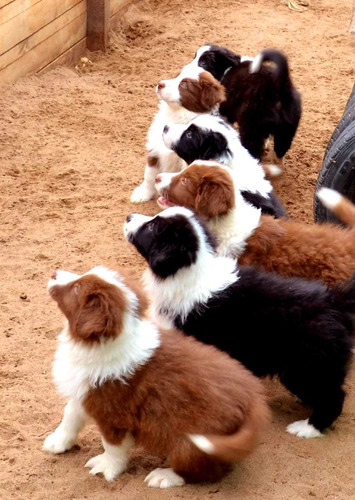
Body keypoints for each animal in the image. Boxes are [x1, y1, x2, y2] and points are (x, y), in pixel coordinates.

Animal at [43, 266, 270, 488]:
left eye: (77, 288)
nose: (53, 273)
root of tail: (255, 399)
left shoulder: (114, 414)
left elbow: (113, 447)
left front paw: (106, 468)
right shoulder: (84, 391)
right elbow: (70, 414)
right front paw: (57, 442)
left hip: (191, 443)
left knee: (206, 472)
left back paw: (164, 476)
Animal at [124, 206, 354, 438]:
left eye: (152, 226)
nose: (128, 216)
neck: (190, 271)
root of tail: (333, 301)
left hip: (305, 366)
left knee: (333, 397)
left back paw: (307, 428)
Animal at [130, 64, 225, 203]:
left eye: (184, 85)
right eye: (176, 76)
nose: (160, 84)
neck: (175, 115)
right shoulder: (155, 148)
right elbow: (149, 174)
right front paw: (142, 194)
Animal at [168, 45, 302, 174]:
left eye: (203, 63)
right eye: (194, 57)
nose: (185, 70)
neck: (226, 70)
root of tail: (278, 86)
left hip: (251, 126)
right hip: (287, 130)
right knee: (280, 151)